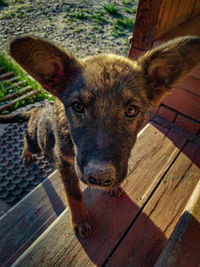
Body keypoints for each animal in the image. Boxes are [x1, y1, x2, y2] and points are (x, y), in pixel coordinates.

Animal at [0, 35, 199, 239]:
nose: (100, 178)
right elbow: (74, 194)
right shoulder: (65, 163)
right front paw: (80, 219)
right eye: (78, 106)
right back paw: (26, 154)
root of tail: (37, 110)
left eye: (131, 110)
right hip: (35, 141)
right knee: (26, 138)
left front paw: (111, 188)